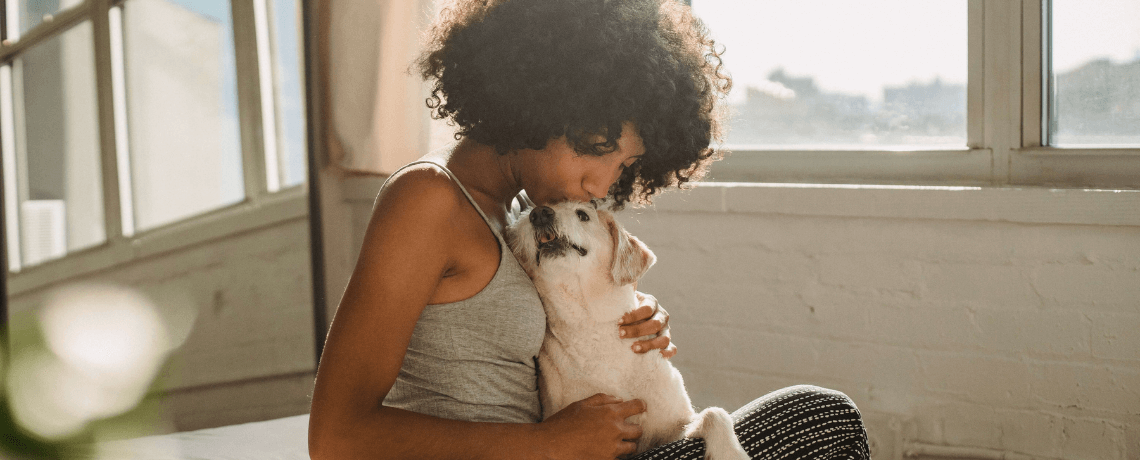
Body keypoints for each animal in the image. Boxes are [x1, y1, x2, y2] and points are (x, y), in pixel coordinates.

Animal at [506, 202, 747, 459]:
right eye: (526, 219)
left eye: (583, 214)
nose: (539, 213)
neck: (593, 326)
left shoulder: (672, 427)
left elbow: (714, 413)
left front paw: (731, 453)